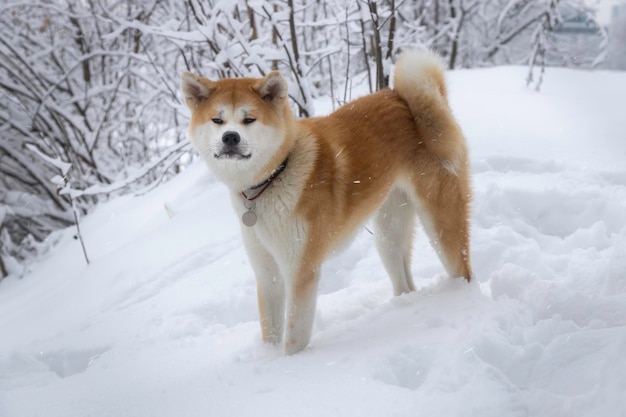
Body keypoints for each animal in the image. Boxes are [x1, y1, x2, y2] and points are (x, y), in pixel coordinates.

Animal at [179, 49, 468, 354]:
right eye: (217, 120)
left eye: (249, 120)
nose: (230, 137)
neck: (275, 176)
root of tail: (403, 99)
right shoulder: (267, 273)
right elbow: (270, 330)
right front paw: (268, 357)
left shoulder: (301, 269)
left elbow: (294, 337)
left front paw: (292, 362)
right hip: (389, 234)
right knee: (404, 279)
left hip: (441, 226)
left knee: (461, 267)